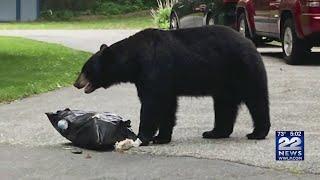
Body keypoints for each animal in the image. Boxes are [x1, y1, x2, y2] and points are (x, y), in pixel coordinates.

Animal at [74, 25, 270, 146]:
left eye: (85, 69)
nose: (76, 83)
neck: (134, 60)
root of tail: (250, 44)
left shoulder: (154, 68)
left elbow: (152, 103)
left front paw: (142, 137)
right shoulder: (151, 79)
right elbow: (166, 105)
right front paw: (161, 137)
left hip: (243, 69)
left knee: (256, 99)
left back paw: (257, 133)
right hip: (224, 82)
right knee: (224, 105)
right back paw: (214, 132)